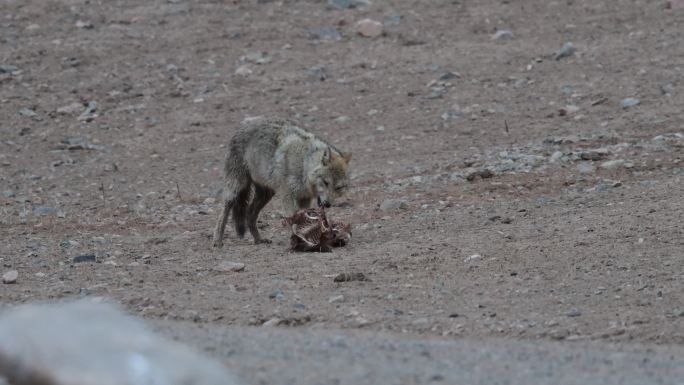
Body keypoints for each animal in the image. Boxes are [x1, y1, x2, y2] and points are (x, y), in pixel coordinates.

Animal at [211, 118, 352, 248]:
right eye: (325, 182)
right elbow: (294, 221)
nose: (327, 204)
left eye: (338, 188)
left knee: (249, 214)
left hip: (266, 195)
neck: (303, 163)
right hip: (236, 188)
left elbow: (304, 221)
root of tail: (243, 125)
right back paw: (217, 240)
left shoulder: (304, 199)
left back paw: (259, 239)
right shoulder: (288, 196)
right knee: (223, 213)